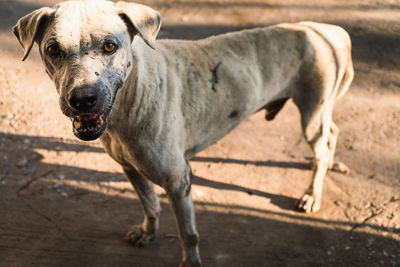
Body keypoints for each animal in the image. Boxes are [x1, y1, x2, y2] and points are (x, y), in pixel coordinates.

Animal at [13, 1, 354, 266]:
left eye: (110, 45)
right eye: (53, 49)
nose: (83, 99)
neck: (131, 97)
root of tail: (328, 29)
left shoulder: (179, 181)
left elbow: (188, 233)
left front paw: (190, 262)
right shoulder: (130, 169)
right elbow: (149, 204)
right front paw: (147, 232)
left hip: (311, 113)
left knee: (321, 148)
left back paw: (312, 194)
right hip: (320, 112)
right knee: (332, 133)